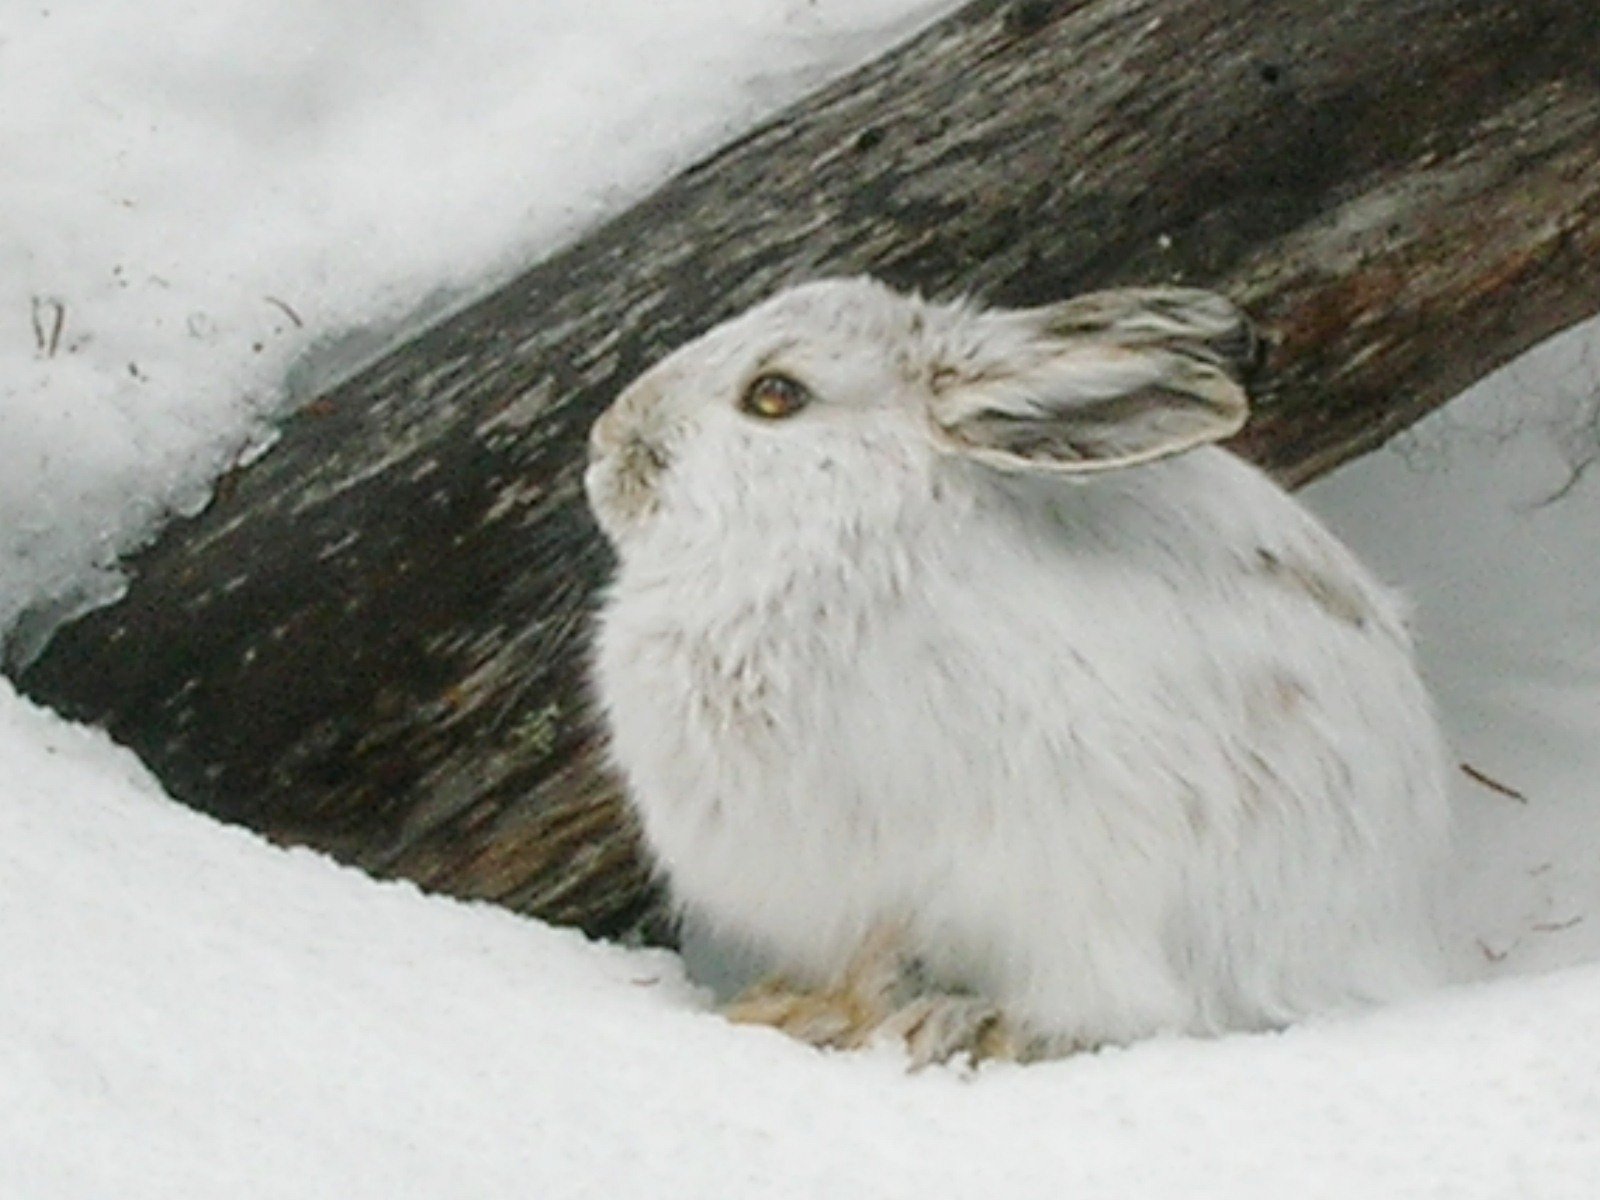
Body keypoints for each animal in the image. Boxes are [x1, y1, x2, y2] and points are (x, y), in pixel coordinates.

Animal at [584, 276, 1451, 1064]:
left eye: (774, 395)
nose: (603, 440)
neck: (849, 530)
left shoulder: (913, 862)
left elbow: (881, 961)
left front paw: (819, 1018)